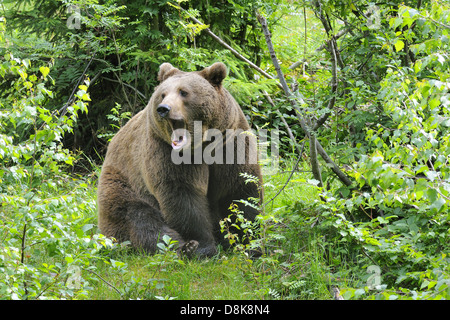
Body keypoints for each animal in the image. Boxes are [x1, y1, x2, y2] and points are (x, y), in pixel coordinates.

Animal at [96, 62, 262, 258]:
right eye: (163, 94)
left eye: (183, 92)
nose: (163, 108)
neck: (203, 145)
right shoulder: (164, 150)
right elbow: (183, 195)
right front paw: (201, 247)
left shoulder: (231, 143)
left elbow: (240, 190)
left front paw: (250, 242)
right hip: (123, 184)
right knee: (140, 219)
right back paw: (183, 247)